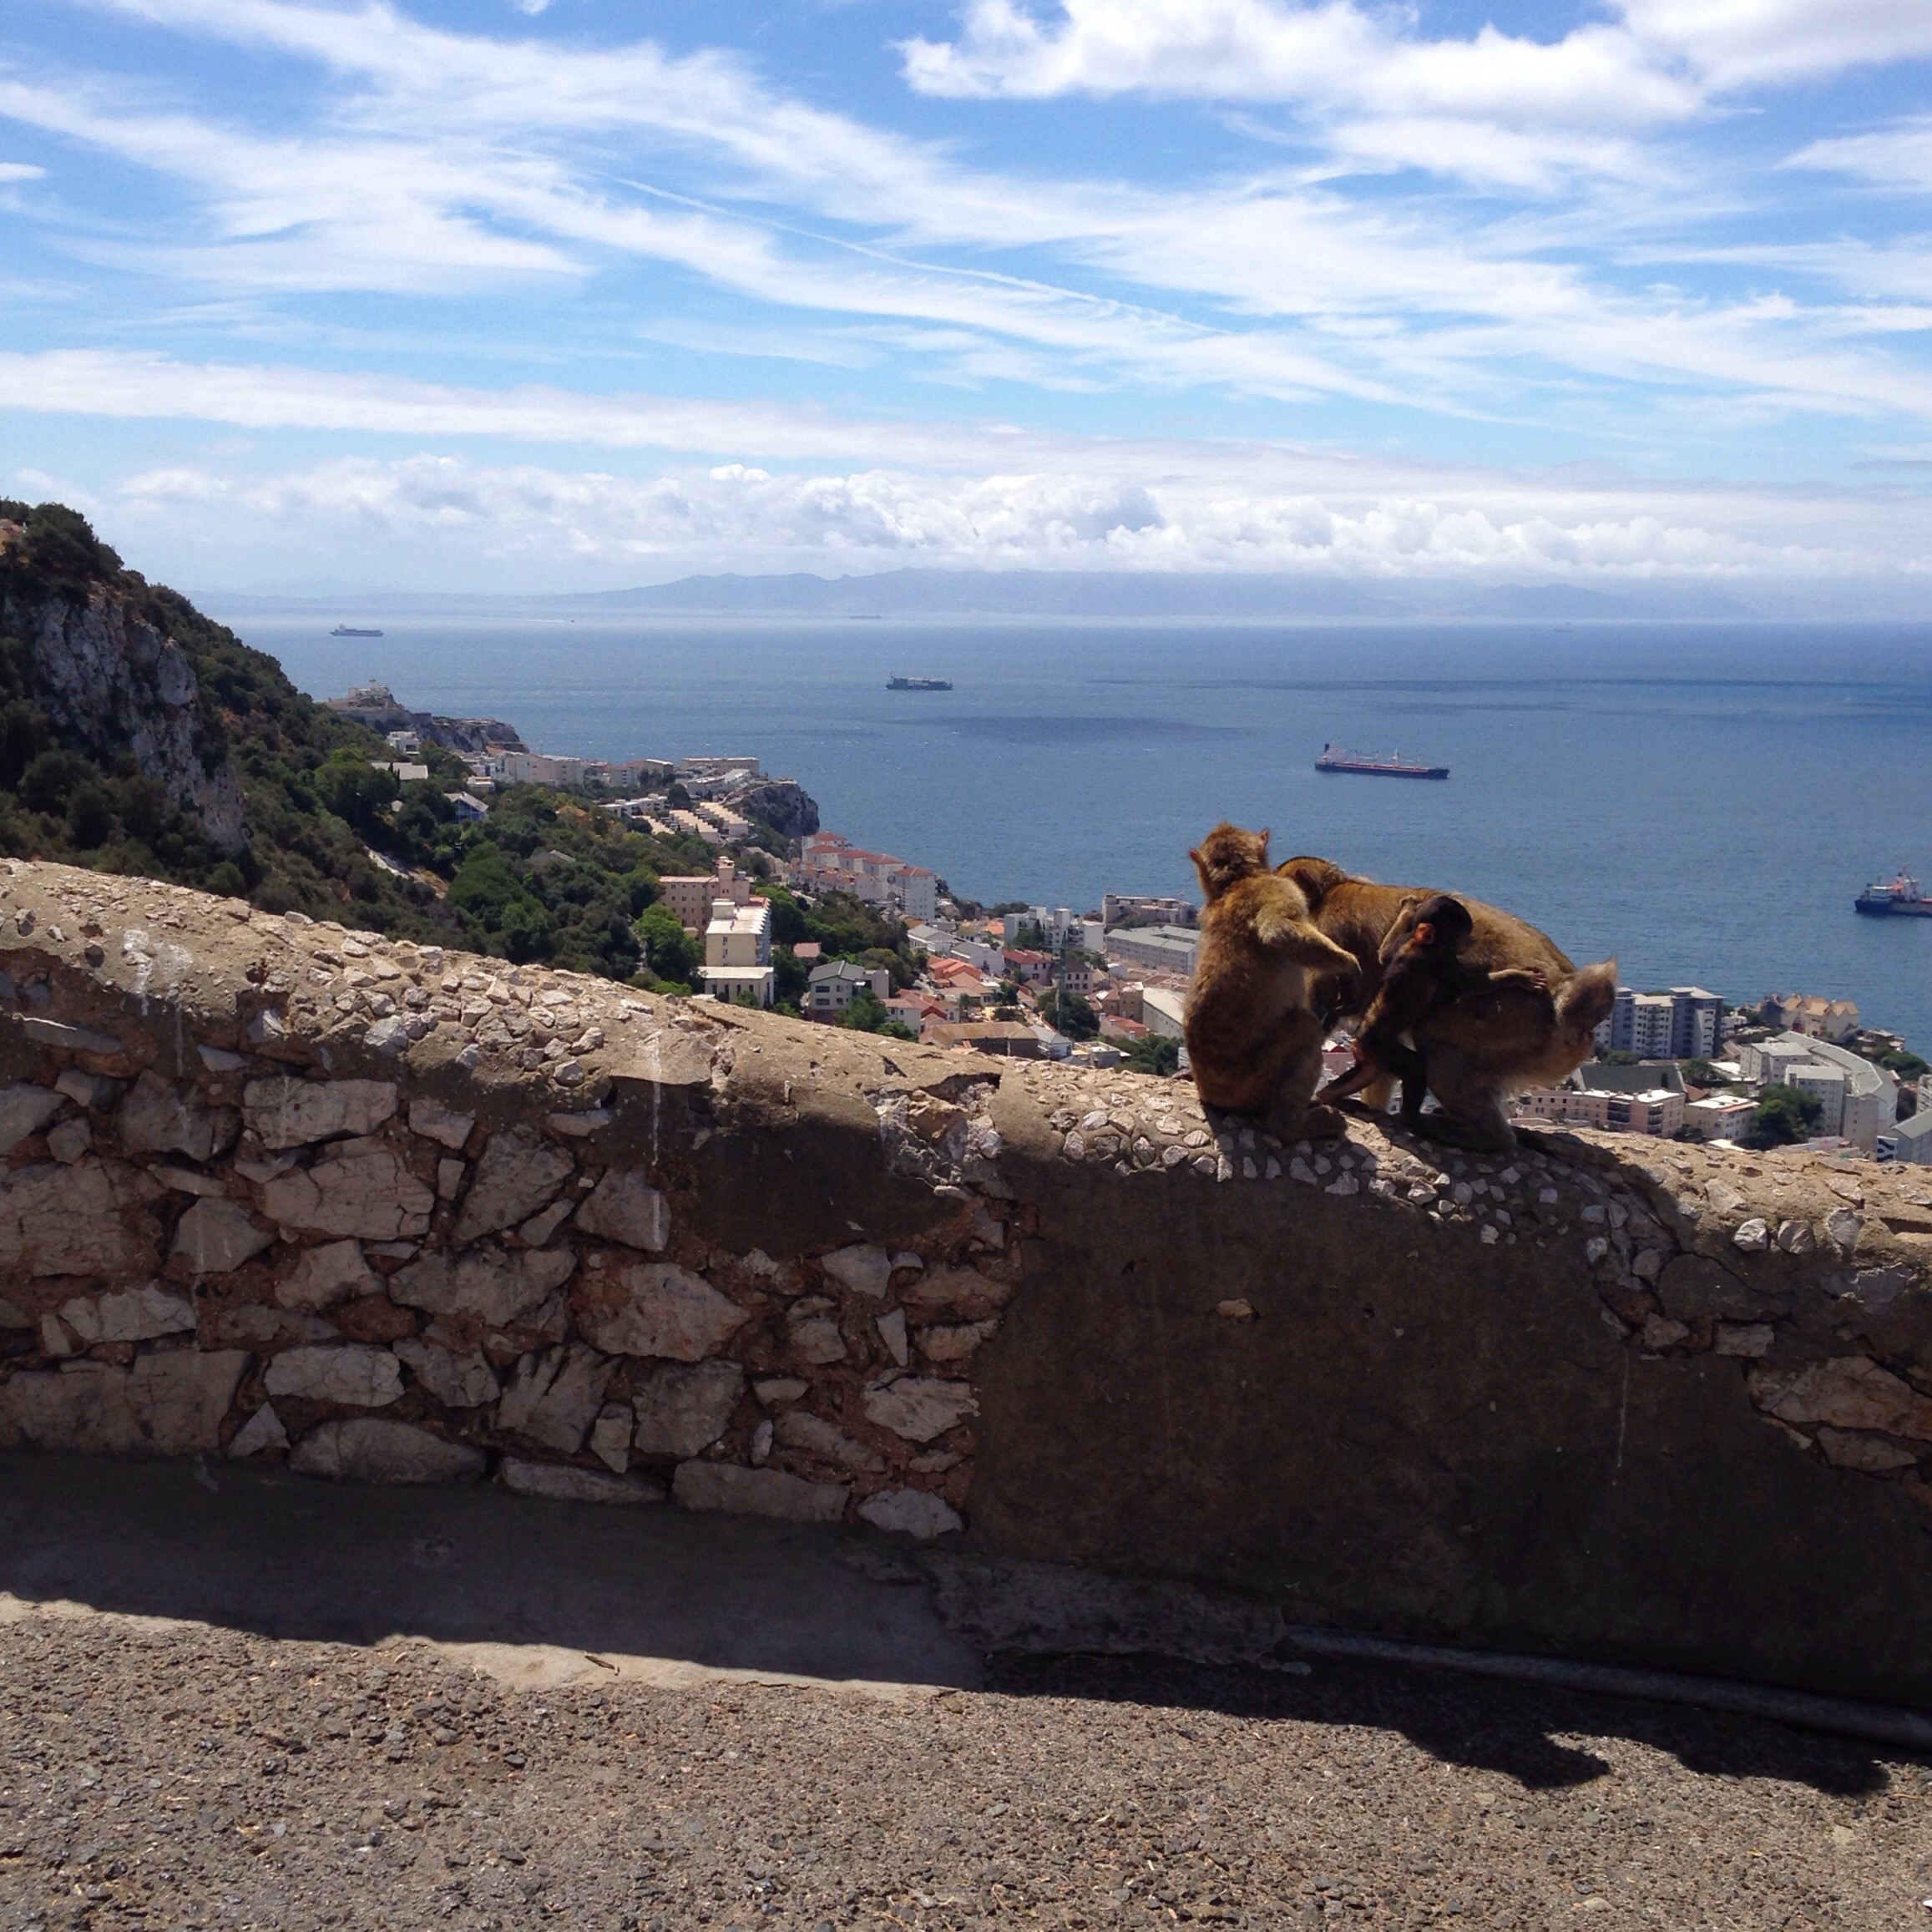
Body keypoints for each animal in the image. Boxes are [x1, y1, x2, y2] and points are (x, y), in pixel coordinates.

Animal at [1183, 823, 1365, 1140]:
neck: (1237, 882)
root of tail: (1214, 1097)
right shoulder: (1279, 888)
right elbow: (1278, 932)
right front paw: (1349, 965)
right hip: (1256, 1081)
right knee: (1306, 1028)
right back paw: (1291, 1128)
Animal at [1321, 892, 1552, 1128]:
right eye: (1461, 935)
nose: (1469, 941)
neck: (1418, 942)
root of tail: (1358, 1040)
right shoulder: (1441, 959)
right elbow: (1470, 985)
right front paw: (1520, 977)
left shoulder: (1404, 944)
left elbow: (1384, 953)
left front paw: (1408, 909)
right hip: (1381, 1047)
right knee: (1414, 1069)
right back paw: (1410, 1119)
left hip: (1371, 1055)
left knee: (1369, 1072)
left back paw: (1328, 1097)